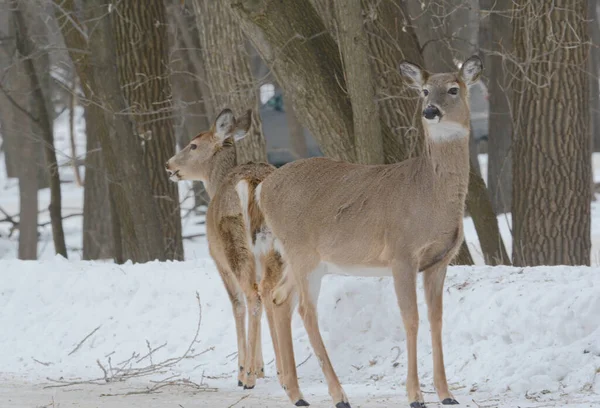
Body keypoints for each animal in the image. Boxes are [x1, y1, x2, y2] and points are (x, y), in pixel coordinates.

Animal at [164, 108, 304, 398]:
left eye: (193, 145)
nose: (169, 165)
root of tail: (254, 182)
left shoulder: (217, 259)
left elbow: (237, 305)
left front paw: (244, 370)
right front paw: (263, 368)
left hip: (233, 241)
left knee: (251, 296)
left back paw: (247, 377)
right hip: (277, 247)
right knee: (269, 292)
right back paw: (283, 374)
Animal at [241, 55, 486, 408]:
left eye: (454, 89)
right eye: (424, 91)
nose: (430, 111)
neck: (429, 194)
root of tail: (263, 188)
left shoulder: (440, 260)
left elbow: (437, 319)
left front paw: (446, 393)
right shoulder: (401, 254)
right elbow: (410, 319)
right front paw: (415, 395)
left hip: (300, 257)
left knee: (278, 298)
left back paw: (297, 394)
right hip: (303, 253)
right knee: (305, 311)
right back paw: (337, 394)